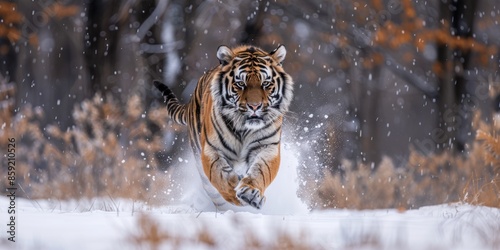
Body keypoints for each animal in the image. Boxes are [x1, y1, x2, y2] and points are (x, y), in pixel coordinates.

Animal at [153, 44, 292, 209]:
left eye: (266, 84)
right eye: (240, 84)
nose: (254, 106)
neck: (244, 128)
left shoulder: (267, 147)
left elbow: (261, 172)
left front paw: (251, 194)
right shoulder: (211, 149)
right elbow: (220, 176)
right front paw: (235, 193)